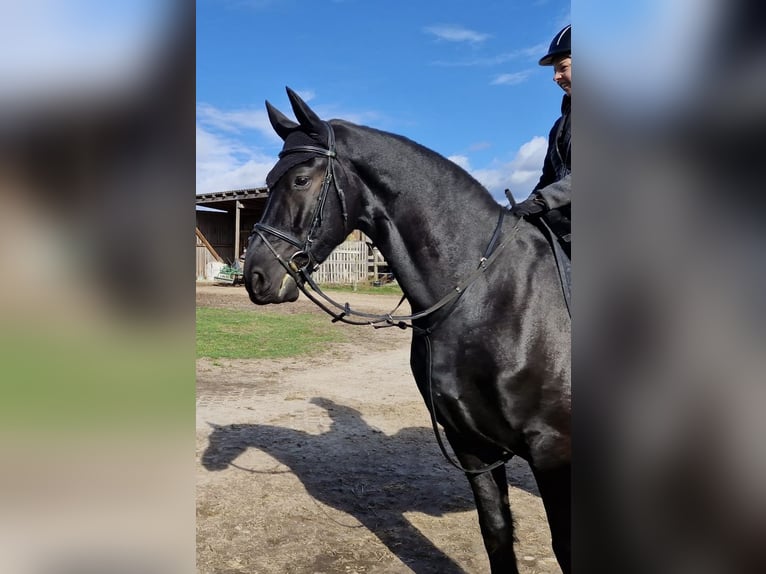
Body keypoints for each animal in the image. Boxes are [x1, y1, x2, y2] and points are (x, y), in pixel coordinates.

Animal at [243, 87, 571, 574]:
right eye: (267, 181)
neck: (489, 294)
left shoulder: (553, 452)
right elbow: (496, 532)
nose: (256, 277)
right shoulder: (470, 443)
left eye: (301, 179)